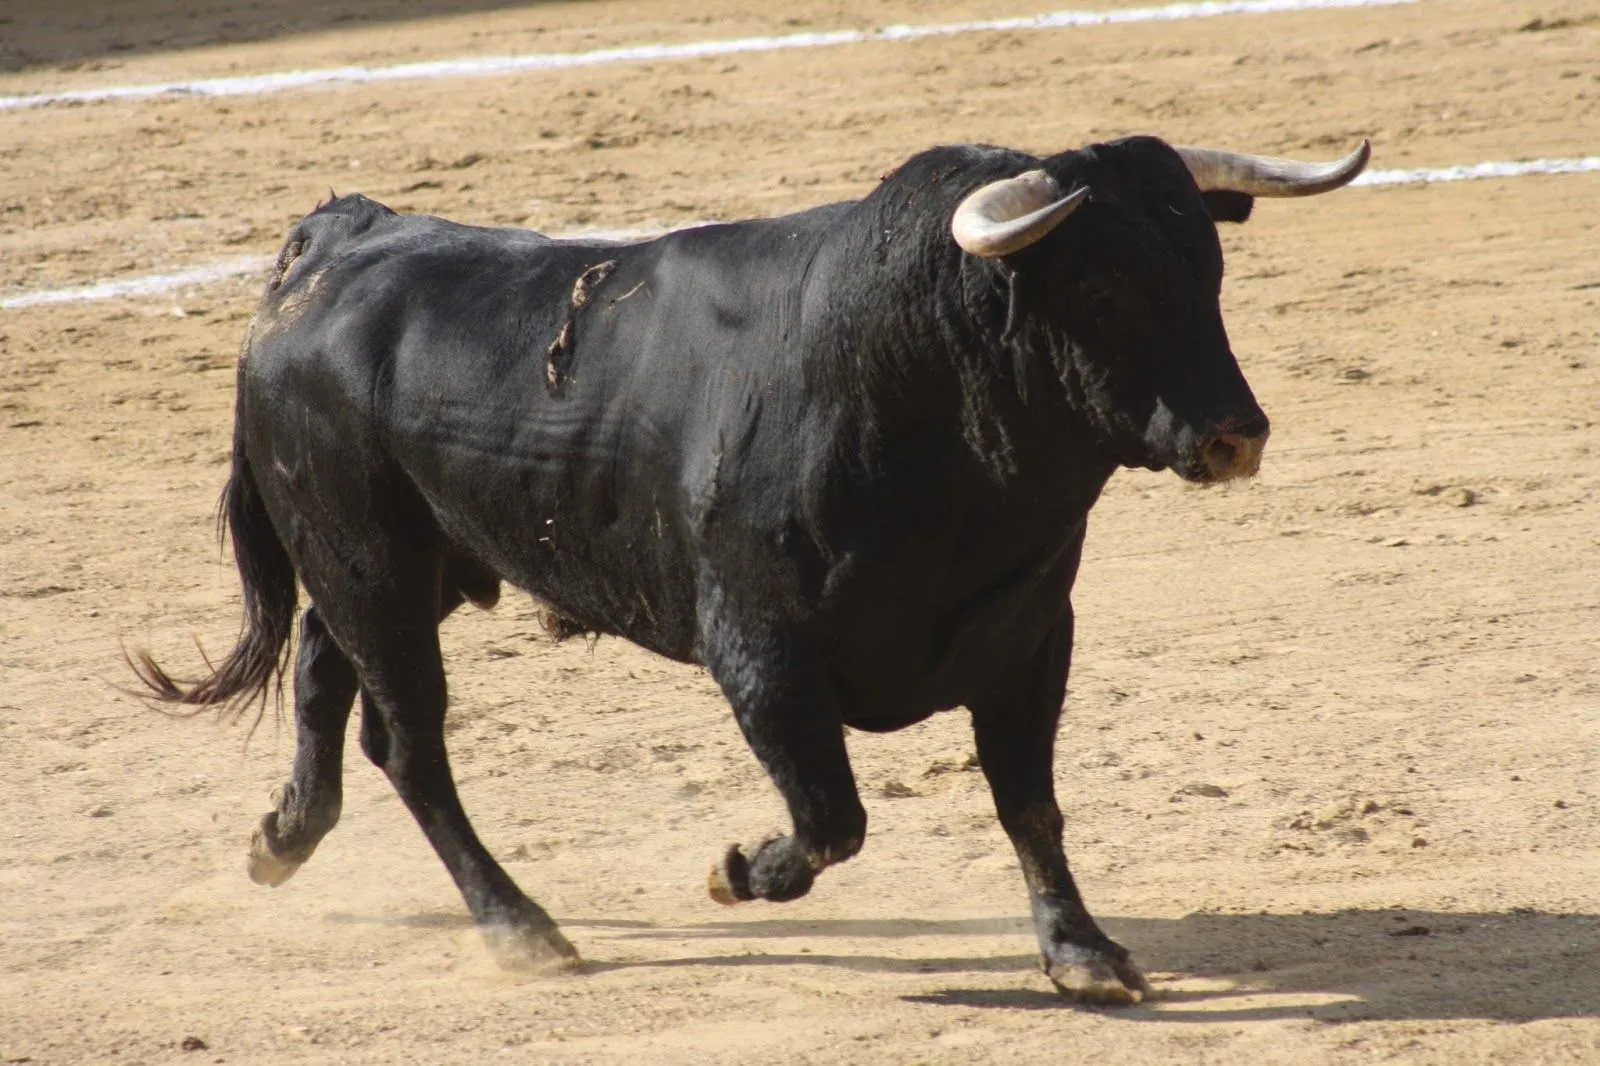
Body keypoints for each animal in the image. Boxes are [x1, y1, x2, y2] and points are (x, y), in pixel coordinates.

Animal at [134, 135, 1363, 1005]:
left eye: (1209, 273)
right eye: (1105, 292)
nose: (1235, 436)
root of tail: (333, 245)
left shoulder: (1027, 641)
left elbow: (1030, 803)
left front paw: (1083, 953)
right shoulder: (761, 653)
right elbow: (831, 818)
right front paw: (734, 869)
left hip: (397, 564)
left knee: (319, 671)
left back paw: (280, 841)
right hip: (372, 567)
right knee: (407, 739)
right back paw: (521, 928)